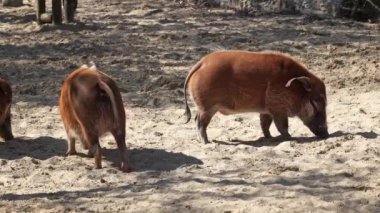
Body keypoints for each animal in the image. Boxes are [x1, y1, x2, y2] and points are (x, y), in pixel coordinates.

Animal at [183, 50, 326, 143]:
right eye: (316, 102)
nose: (326, 134)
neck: (292, 87)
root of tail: (201, 63)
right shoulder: (278, 109)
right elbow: (282, 126)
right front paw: (291, 138)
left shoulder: (267, 111)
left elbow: (265, 125)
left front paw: (269, 138)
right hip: (207, 108)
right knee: (199, 121)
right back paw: (206, 142)